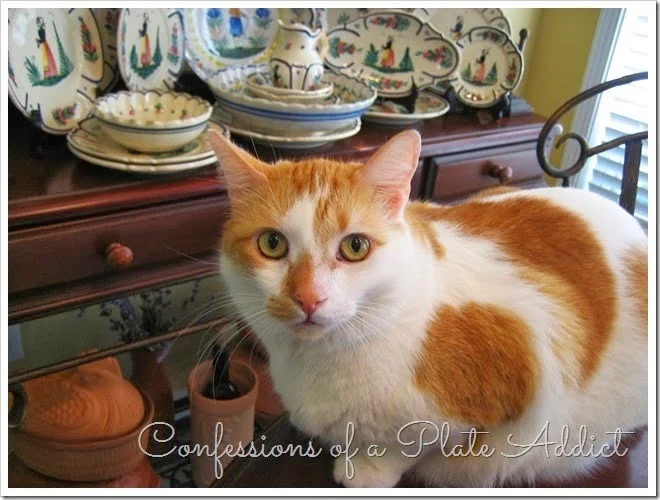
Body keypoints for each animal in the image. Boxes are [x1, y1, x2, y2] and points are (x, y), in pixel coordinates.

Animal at [208, 129, 648, 488]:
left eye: (355, 247)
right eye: (272, 244)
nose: (309, 297)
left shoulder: (531, 363)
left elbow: (410, 445)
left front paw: (367, 469)